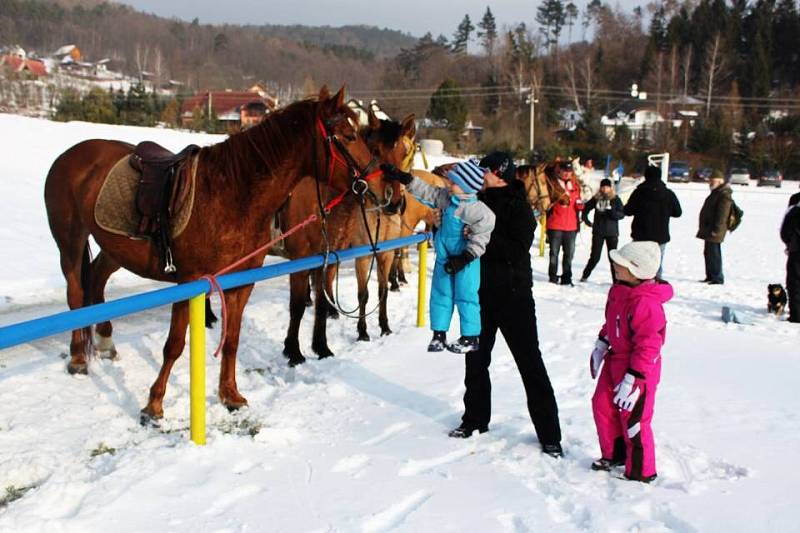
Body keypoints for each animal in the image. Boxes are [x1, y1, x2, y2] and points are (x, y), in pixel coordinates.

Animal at [43, 86, 390, 420]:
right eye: (348, 136)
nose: (382, 189)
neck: (232, 195)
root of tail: (71, 155)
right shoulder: (190, 283)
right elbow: (174, 345)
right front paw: (154, 406)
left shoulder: (241, 283)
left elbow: (232, 340)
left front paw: (230, 395)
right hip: (70, 240)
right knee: (76, 293)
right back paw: (78, 358)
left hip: (114, 249)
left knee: (96, 280)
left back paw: (105, 342)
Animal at [278, 110, 416, 364]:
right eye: (375, 151)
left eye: (405, 153)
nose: (393, 202)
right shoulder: (361, 254)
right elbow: (364, 294)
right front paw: (362, 332)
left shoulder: (384, 253)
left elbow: (382, 291)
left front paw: (384, 326)